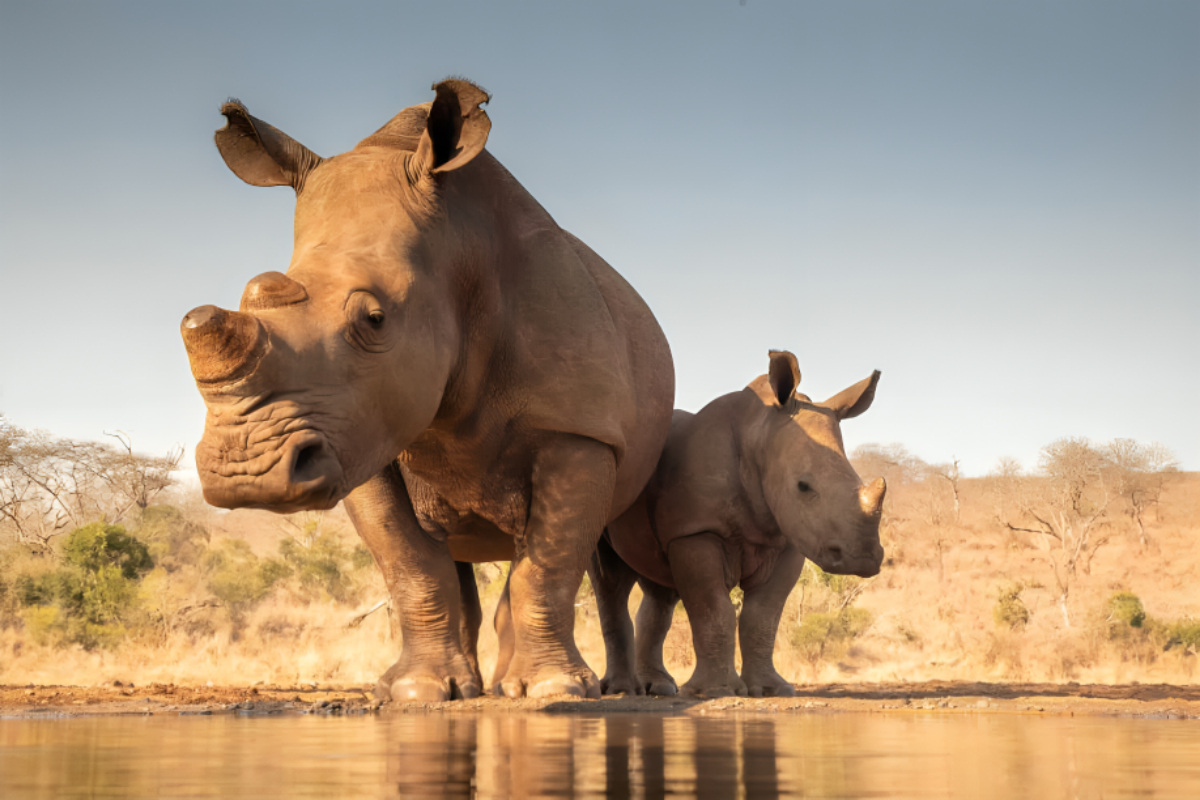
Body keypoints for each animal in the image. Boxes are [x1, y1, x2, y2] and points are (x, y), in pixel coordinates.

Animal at [180, 79, 674, 701]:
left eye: (374, 320)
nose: (246, 472)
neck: (457, 251)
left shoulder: (579, 429)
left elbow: (550, 567)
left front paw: (552, 692)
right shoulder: (357, 433)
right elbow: (410, 565)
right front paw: (416, 692)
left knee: (595, 564)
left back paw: (588, 690)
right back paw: (479, 688)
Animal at [591, 350, 884, 698]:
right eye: (802, 486)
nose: (863, 559)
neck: (759, 433)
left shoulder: (786, 541)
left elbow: (763, 617)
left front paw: (771, 690)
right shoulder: (697, 531)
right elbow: (714, 610)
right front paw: (714, 692)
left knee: (659, 588)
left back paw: (659, 688)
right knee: (610, 580)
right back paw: (622, 690)